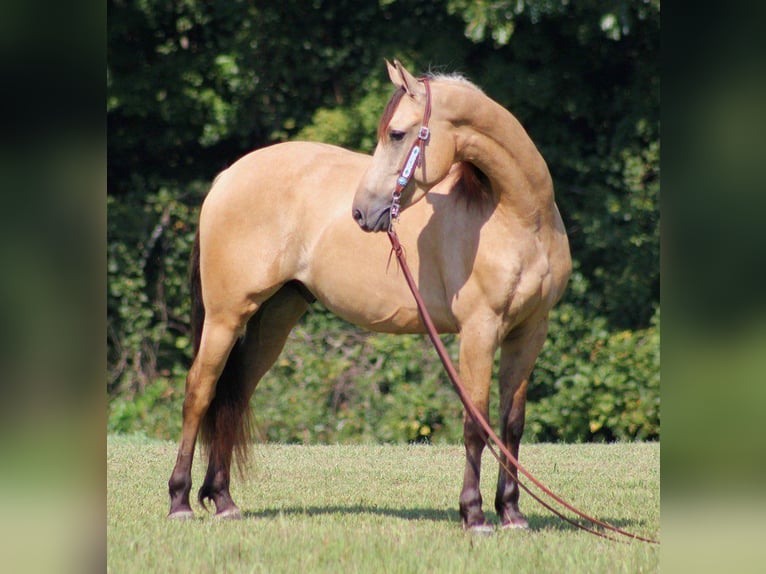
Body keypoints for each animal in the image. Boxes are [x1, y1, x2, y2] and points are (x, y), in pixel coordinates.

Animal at [171, 58, 572, 532]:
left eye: (397, 134)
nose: (362, 212)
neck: (519, 218)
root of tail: (227, 177)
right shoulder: (480, 330)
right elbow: (476, 423)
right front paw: (473, 514)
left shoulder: (529, 332)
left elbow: (511, 424)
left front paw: (511, 511)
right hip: (225, 316)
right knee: (200, 392)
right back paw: (179, 501)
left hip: (273, 318)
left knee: (235, 394)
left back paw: (223, 500)